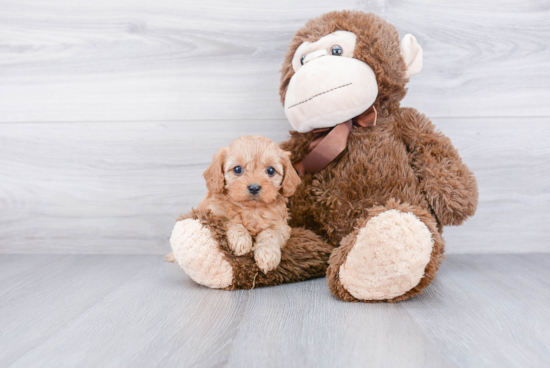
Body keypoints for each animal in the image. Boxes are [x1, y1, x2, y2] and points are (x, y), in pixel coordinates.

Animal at [197, 135, 302, 274]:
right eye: (237, 169)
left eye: (270, 170)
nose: (254, 187)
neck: (251, 209)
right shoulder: (214, 213)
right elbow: (231, 220)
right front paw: (241, 239)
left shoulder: (282, 226)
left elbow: (270, 232)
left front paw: (267, 254)